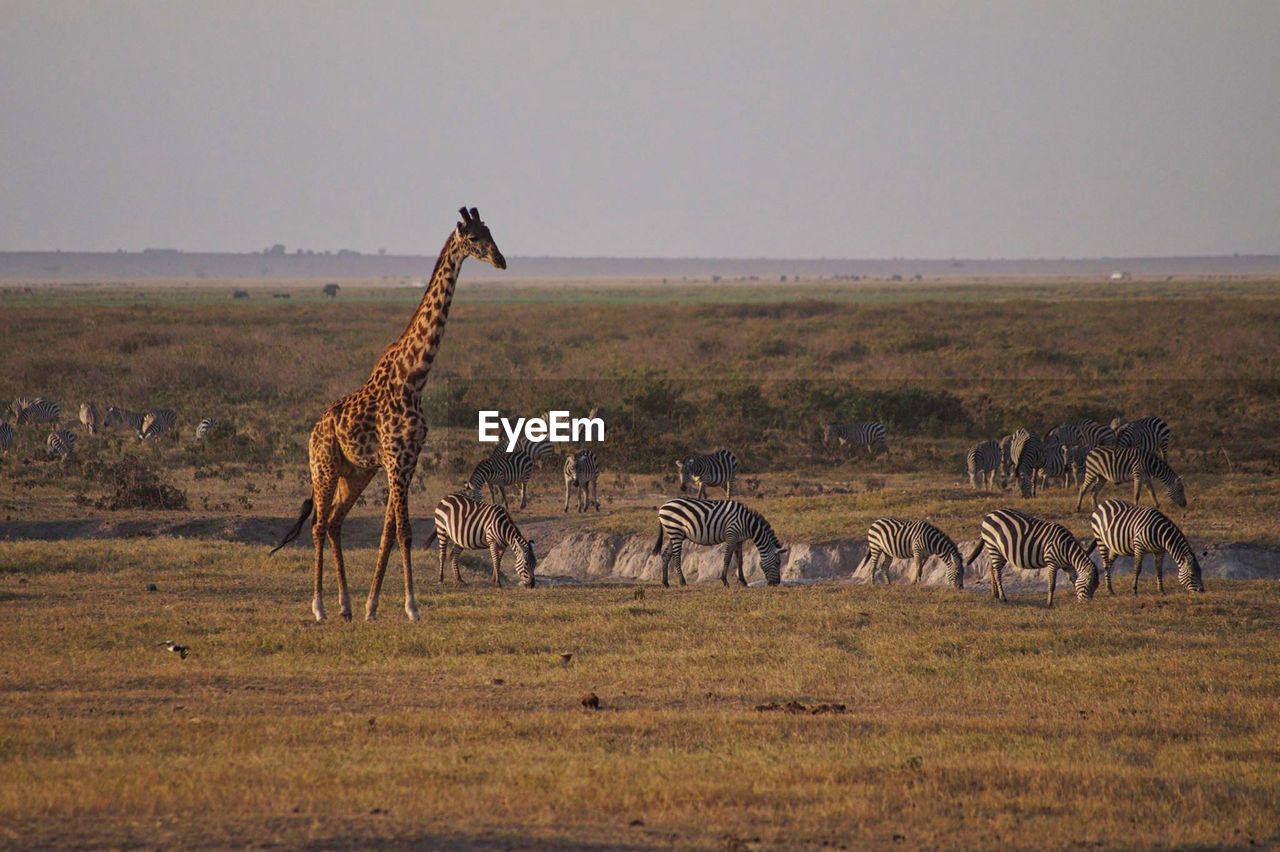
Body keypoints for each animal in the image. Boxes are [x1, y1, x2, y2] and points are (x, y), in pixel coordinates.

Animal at [272, 205, 506, 616]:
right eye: (475, 237)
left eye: (491, 232)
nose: (501, 260)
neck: (413, 378)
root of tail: (314, 430)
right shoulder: (396, 458)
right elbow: (404, 531)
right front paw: (412, 606)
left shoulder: (406, 460)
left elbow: (389, 533)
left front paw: (372, 605)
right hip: (324, 467)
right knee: (318, 525)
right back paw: (319, 606)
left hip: (356, 473)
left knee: (335, 523)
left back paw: (346, 605)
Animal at [655, 493, 783, 588]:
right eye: (777, 562)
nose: (776, 583)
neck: (748, 524)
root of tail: (663, 505)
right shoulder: (731, 536)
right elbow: (727, 558)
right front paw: (725, 581)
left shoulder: (739, 541)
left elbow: (740, 561)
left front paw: (743, 582)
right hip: (675, 532)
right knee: (676, 557)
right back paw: (682, 582)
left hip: (675, 534)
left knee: (666, 555)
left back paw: (666, 583)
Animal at [967, 504, 1100, 603]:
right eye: (1088, 586)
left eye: (1096, 586)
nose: (1086, 605)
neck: (1067, 549)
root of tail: (990, 514)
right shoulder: (1052, 562)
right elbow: (1052, 584)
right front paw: (1049, 603)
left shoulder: (1067, 565)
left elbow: (1074, 579)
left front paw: (1075, 595)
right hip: (993, 547)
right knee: (998, 573)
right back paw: (1003, 597)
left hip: (1001, 551)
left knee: (992, 569)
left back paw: (995, 595)